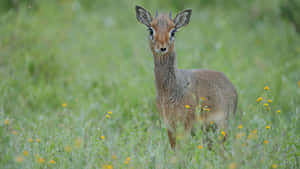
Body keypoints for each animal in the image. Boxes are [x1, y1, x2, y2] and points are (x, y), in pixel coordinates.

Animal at [135, 5, 238, 149]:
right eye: (151, 30)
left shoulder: (185, 126)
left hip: (221, 127)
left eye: (173, 31)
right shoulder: (169, 126)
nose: (162, 47)